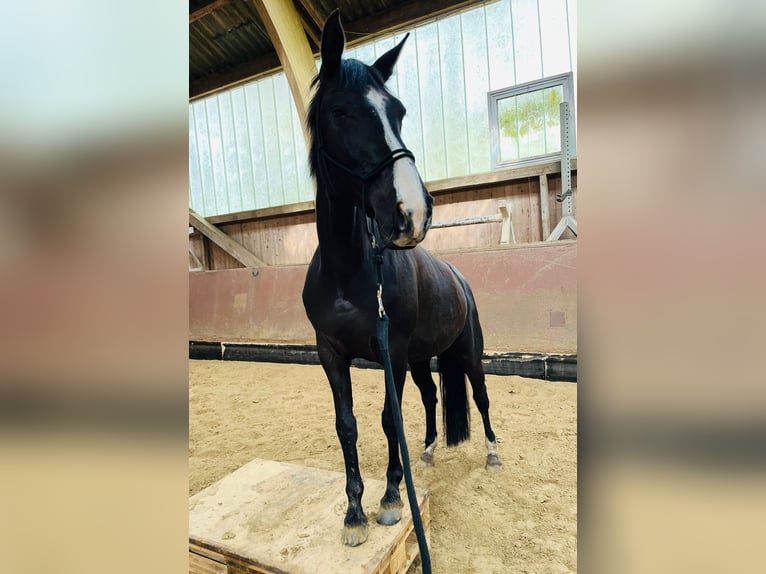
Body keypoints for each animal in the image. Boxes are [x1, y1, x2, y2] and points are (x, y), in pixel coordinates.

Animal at [302, 10, 502, 547]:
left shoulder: (390, 351)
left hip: (467, 354)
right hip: (419, 360)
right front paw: (354, 513)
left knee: (479, 396)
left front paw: (392, 498)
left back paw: (493, 453)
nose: (413, 212)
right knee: (433, 398)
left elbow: (389, 421)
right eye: (341, 111)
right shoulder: (332, 355)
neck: (349, 273)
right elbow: (347, 425)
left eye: (398, 111)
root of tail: (459, 277)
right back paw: (429, 450)